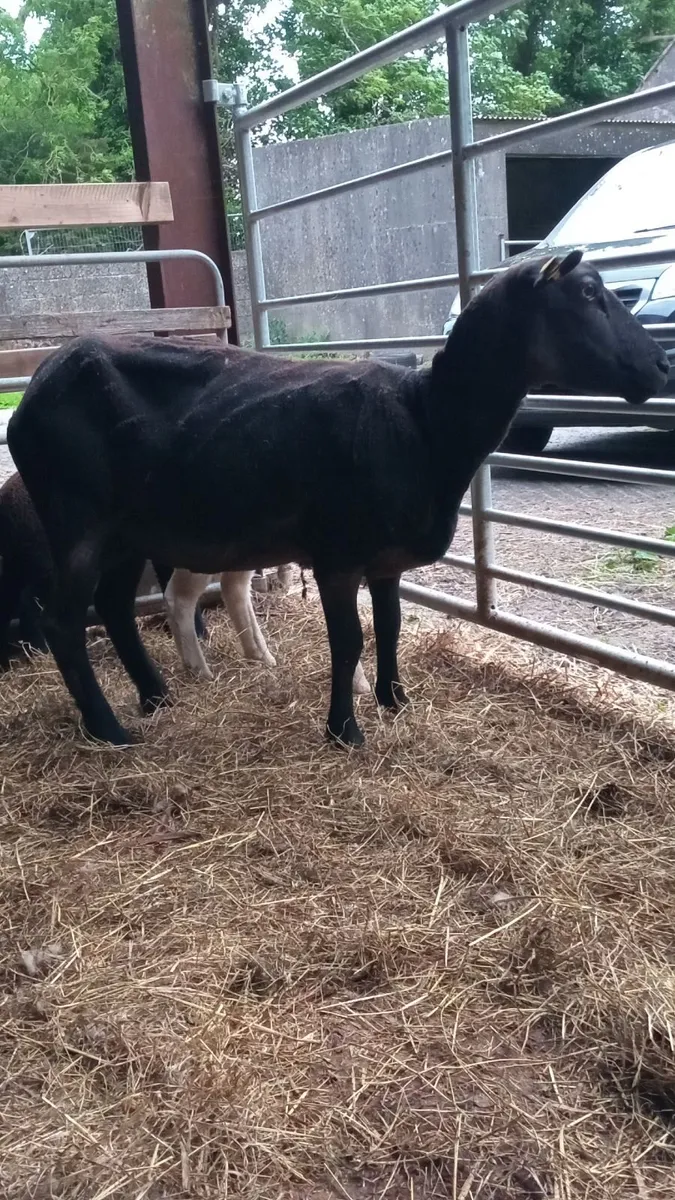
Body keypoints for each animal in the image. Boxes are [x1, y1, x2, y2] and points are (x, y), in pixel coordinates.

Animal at [7, 252, 668, 746]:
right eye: (589, 293)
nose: (662, 364)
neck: (427, 419)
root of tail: (34, 390)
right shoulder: (338, 555)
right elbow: (349, 639)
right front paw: (345, 730)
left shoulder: (386, 560)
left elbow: (391, 628)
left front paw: (395, 701)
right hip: (76, 522)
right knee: (64, 621)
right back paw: (110, 730)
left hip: (127, 530)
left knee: (115, 608)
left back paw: (156, 697)